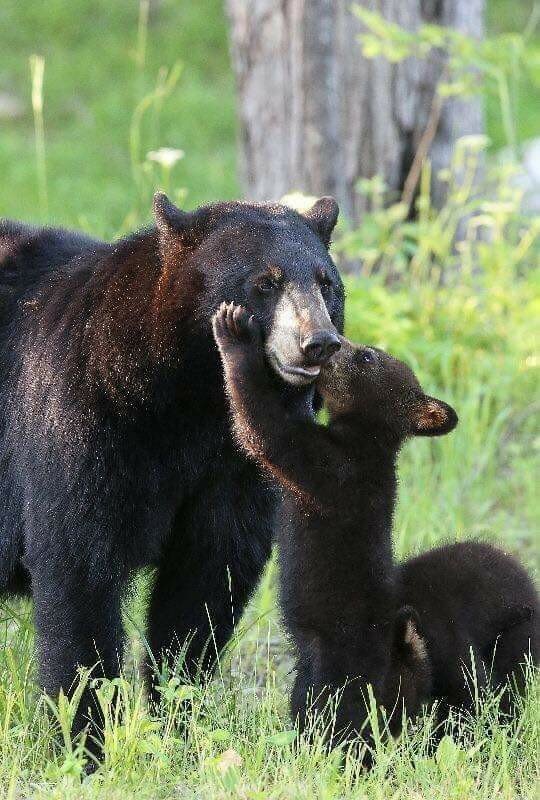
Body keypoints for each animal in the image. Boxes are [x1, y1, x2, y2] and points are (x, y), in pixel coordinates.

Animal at [0, 192, 344, 760]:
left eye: (326, 282)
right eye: (265, 282)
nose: (318, 342)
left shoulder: (229, 465)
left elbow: (207, 574)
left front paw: (178, 720)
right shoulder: (79, 418)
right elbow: (77, 566)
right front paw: (86, 740)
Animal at [212, 302, 538, 754]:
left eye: (366, 356)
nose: (331, 342)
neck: (366, 437)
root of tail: (400, 651)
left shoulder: (331, 467)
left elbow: (268, 430)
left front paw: (234, 332)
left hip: (344, 664)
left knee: (344, 719)